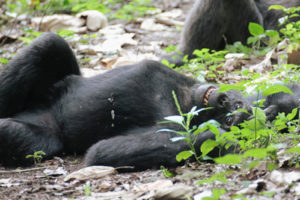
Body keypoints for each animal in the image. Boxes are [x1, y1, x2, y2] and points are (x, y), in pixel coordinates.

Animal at [0, 33, 298, 170]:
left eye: (233, 113)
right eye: (235, 104)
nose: (224, 100)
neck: (185, 94)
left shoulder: (170, 123)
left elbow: (102, 151)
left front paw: (220, 137)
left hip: (41, 135)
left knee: (15, 133)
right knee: (50, 45)